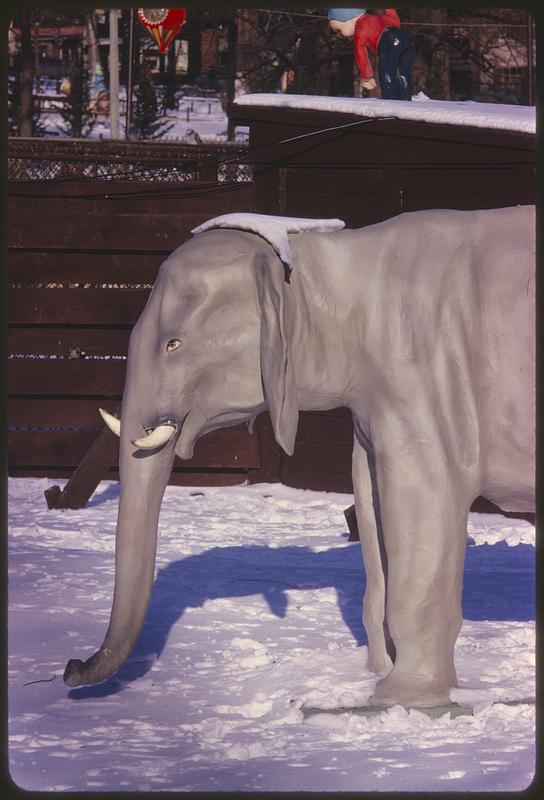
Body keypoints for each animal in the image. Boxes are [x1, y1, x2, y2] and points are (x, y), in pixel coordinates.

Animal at [65, 205, 536, 708]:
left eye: (174, 343)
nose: (71, 668)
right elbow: (371, 509)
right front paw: (376, 675)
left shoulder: (425, 378)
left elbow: (422, 504)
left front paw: (400, 700)